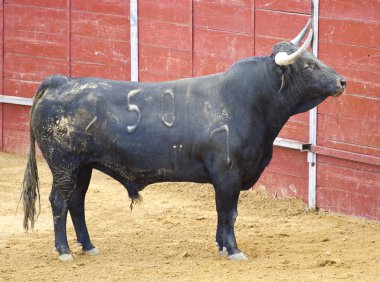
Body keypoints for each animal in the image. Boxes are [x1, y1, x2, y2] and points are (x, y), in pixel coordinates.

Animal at [22, 22, 346, 262]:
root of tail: (61, 81)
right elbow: (229, 212)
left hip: (83, 167)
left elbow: (222, 212)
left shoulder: (226, 177)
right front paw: (234, 250)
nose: (342, 81)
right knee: (59, 201)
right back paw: (64, 251)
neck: (250, 100)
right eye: (307, 65)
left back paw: (88, 246)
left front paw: (221, 246)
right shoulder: (228, 174)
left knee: (77, 202)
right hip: (64, 166)